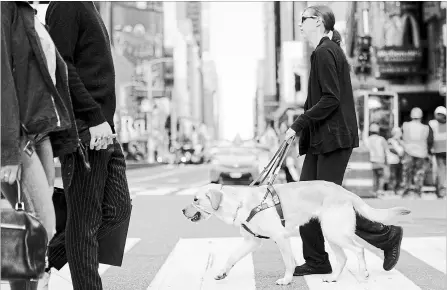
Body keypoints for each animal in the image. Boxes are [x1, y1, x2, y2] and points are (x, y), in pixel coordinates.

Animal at [182, 182, 412, 284]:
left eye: (195, 199)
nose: (182, 211)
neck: (239, 203)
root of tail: (344, 190)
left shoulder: (280, 237)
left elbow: (288, 262)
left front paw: (286, 279)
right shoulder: (251, 241)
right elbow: (231, 256)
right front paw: (222, 272)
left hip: (335, 231)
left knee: (359, 250)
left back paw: (363, 273)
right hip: (330, 233)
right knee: (343, 257)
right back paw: (333, 278)